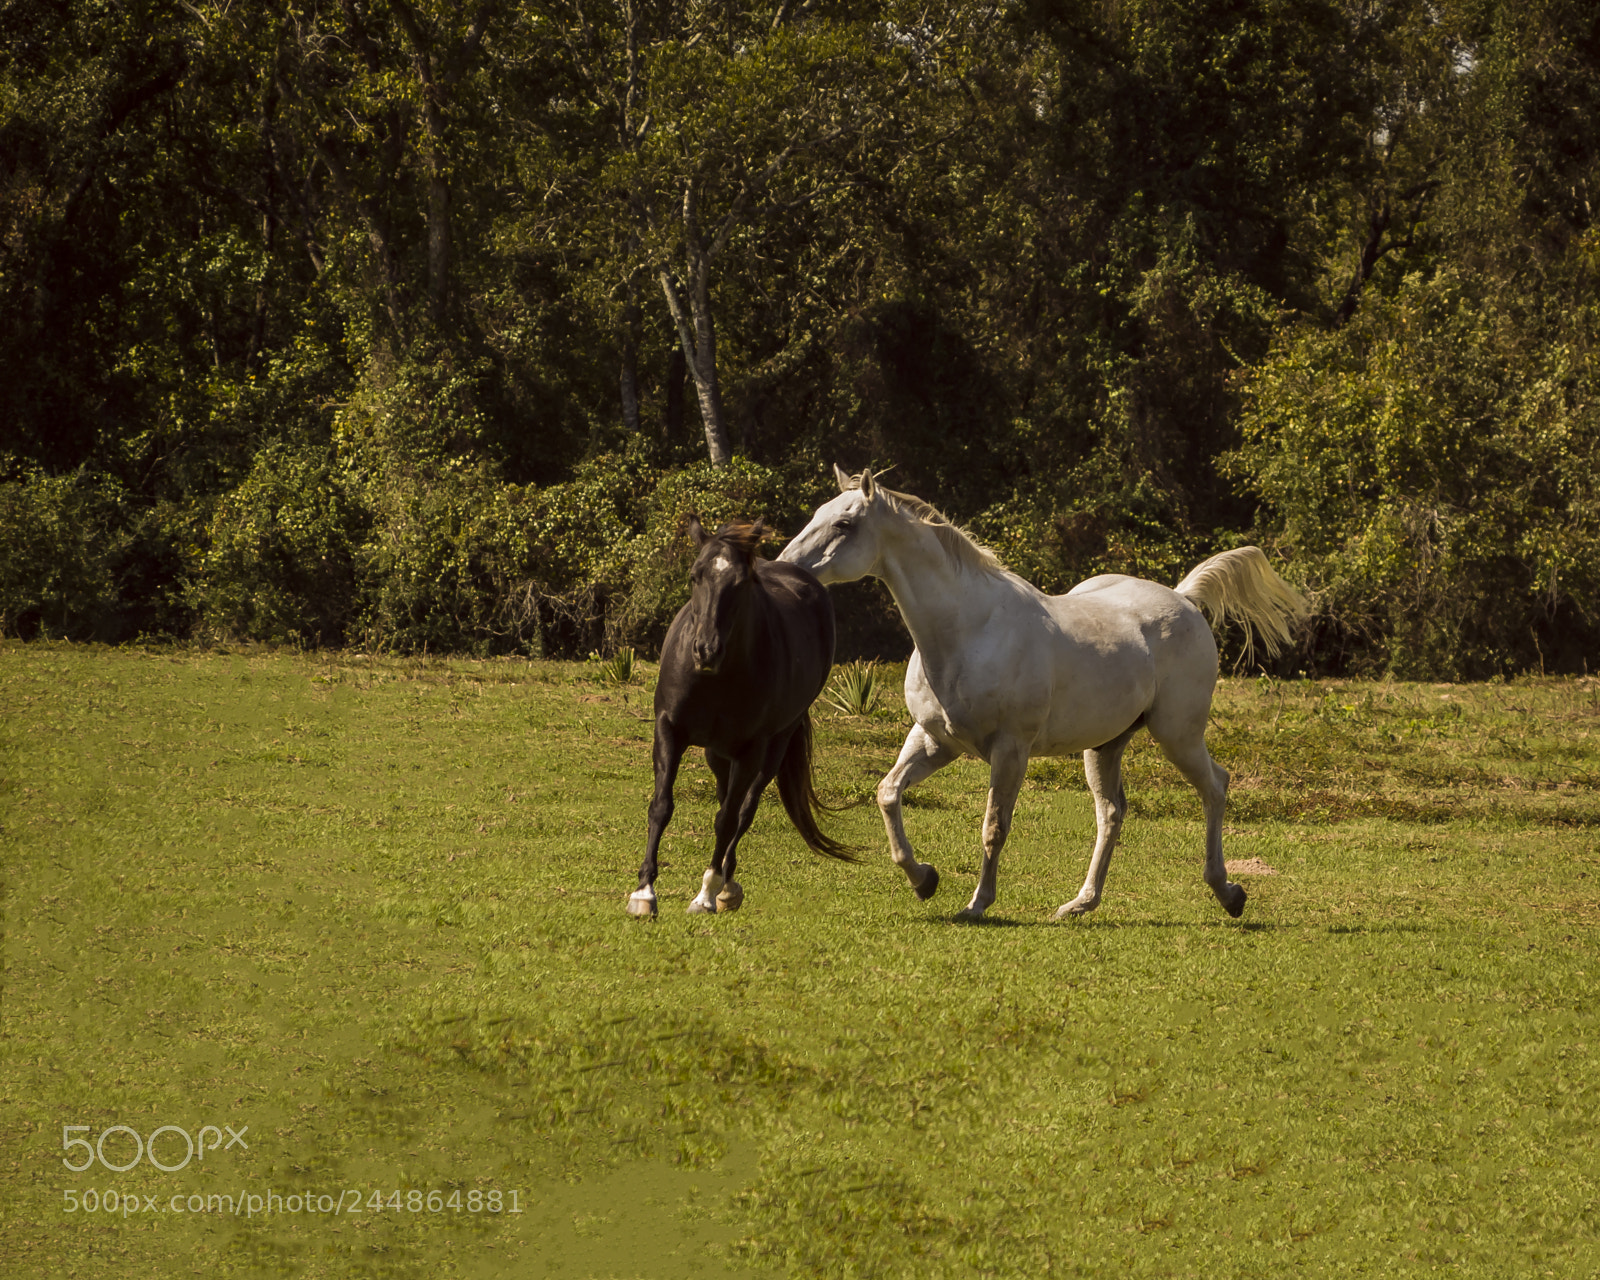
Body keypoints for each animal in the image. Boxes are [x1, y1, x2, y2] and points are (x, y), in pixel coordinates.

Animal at [627, 516, 853, 918]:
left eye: (741, 583)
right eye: (694, 575)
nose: (706, 650)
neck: (715, 679)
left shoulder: (751, 749)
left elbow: (729, 819)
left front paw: (705, 894)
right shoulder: (669, 730)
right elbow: (661, 806)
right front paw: (644, 891)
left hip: (773, 746)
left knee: (744, 810)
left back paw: (726, 886)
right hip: (716, 752)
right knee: (724, 797)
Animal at [777, 465, 1308, 922]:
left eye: (844, 523)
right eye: (817, 513)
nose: (785, 569)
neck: (969, 632)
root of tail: (1182, 598)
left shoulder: (1010, 750)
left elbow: (993, 827)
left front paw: (976, 904)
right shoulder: (934, 741)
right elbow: (888, 793)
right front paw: (924, 879)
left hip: (1177, 734)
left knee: (1215, 786)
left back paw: (1228, 892)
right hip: (1105, 745)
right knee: (1111, 813)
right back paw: (1080, 904)